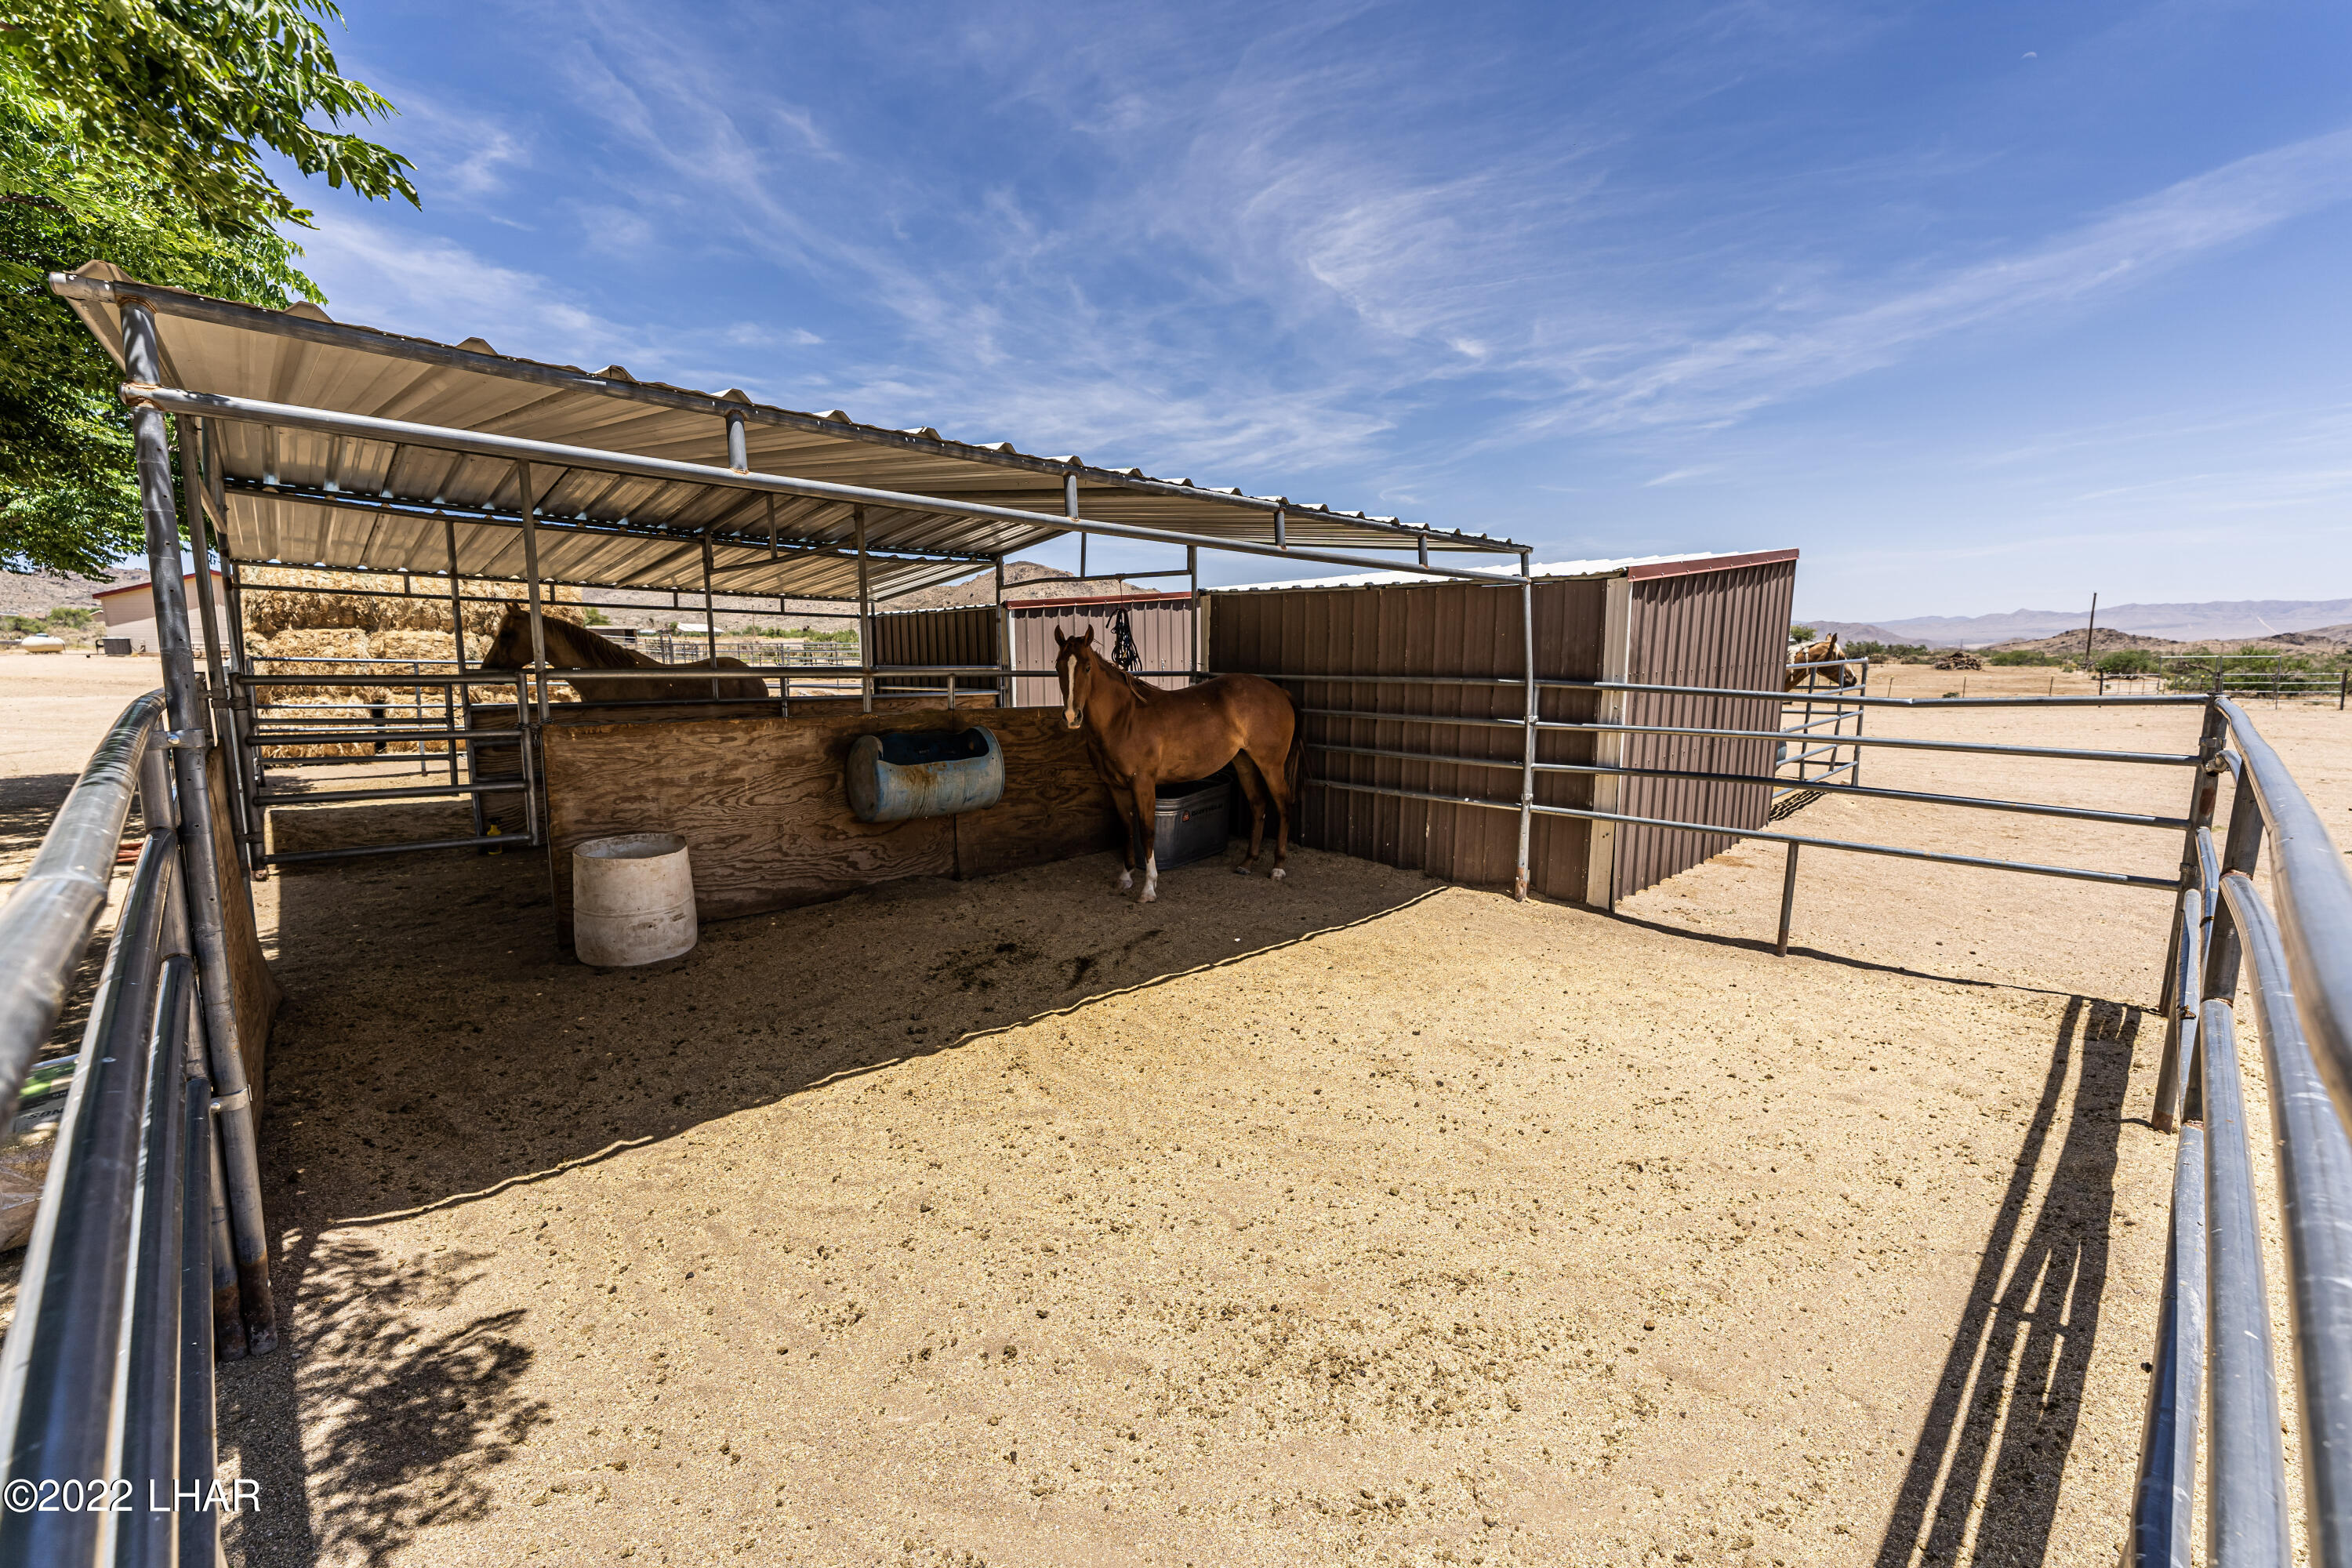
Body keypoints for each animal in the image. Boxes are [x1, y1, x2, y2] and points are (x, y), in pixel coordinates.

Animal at [1053, 627, 1302, 903]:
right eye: (1058, 666)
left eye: (1087, 667)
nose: (1072, 717)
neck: (1123, 718)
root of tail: (1279, 693)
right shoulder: (1115, 787)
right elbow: (1127, 828)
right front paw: (1126, 877)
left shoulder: (1143, 783)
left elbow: (1146, 830)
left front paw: (1149, 887)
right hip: (1245, 761)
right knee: (1258, 804)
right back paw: (1247, 862)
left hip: (1271, 765)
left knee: (1284, 805)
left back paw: (1278, 867)